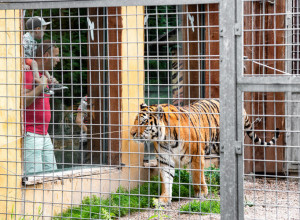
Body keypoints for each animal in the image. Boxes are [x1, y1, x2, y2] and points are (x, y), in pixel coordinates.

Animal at [130, 99, 280, 205]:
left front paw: (201, 193)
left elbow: (197, 176)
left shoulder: (196, 155)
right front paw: (164, 200)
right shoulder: (165, 160)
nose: (131, 133)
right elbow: (166, 180)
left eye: (143, 122)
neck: (165, 138)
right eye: (135, 121)